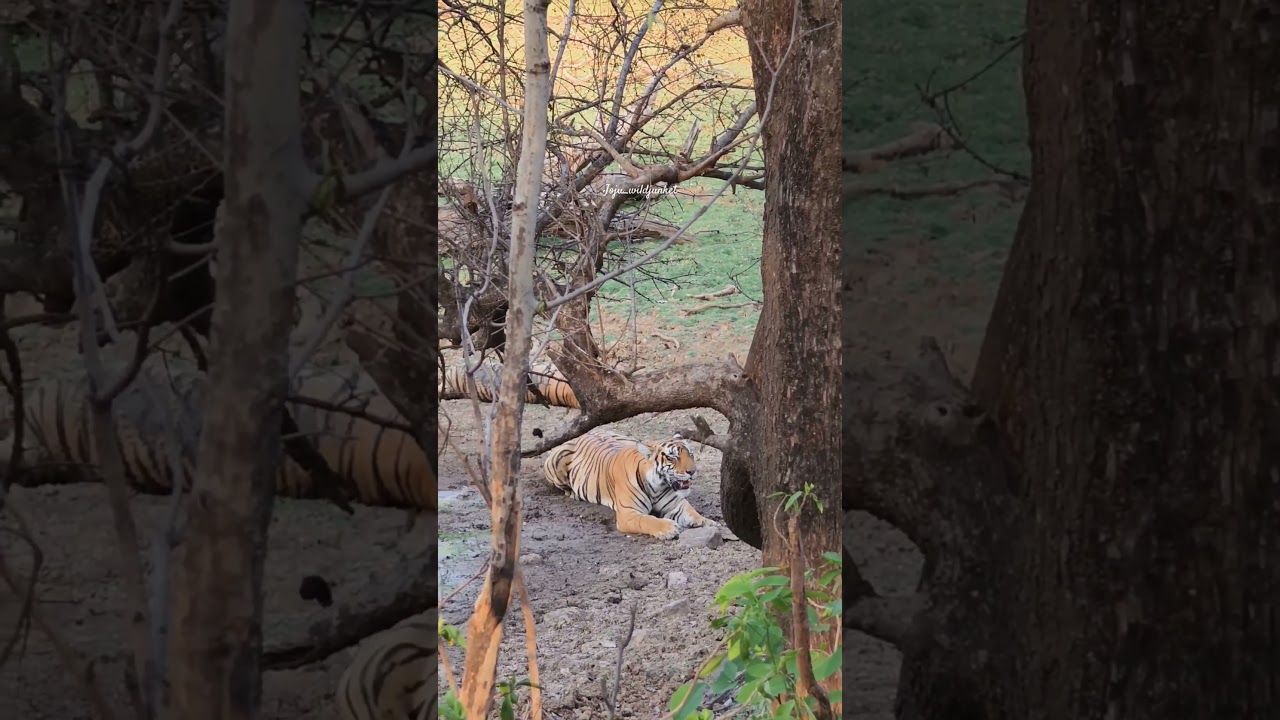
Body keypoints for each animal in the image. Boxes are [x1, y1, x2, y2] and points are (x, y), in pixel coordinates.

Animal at [542, 428, 715, 540]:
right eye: (672, 457)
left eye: (691, 454)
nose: (692, 471)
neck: (657, 487)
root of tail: (585, 432)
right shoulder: (628, 514)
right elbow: (647, 520)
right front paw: (668, 528)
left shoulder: (676, 504)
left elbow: (691, 511)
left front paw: (708, 522)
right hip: (555, 462)